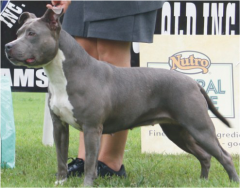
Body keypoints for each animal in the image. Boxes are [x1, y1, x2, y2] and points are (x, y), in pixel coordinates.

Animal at [4, 9, 239, 187]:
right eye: (18, 32)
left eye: (32, 33)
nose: (8, 46)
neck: (63, 74)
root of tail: (193, 82)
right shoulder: (59, 127)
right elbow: (61, 159)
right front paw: (60, 182)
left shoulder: (92, 129)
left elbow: (90, 163)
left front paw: (86, 184)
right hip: (178, 131)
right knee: (205, 155)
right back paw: (203, 181)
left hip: (200, 128)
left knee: (224, 155)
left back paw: (232, 181)